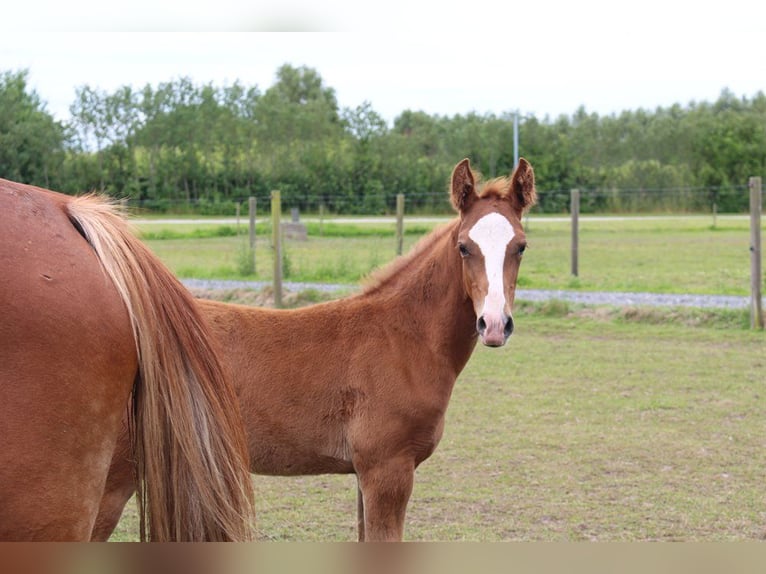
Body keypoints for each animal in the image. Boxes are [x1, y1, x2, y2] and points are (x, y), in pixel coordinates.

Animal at [94, 158, 540, 544]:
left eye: (520, 246)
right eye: (464, 246)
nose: (494, 324)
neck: (403, 338)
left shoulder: (365, 474)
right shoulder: (388, 470)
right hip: (109, 482)